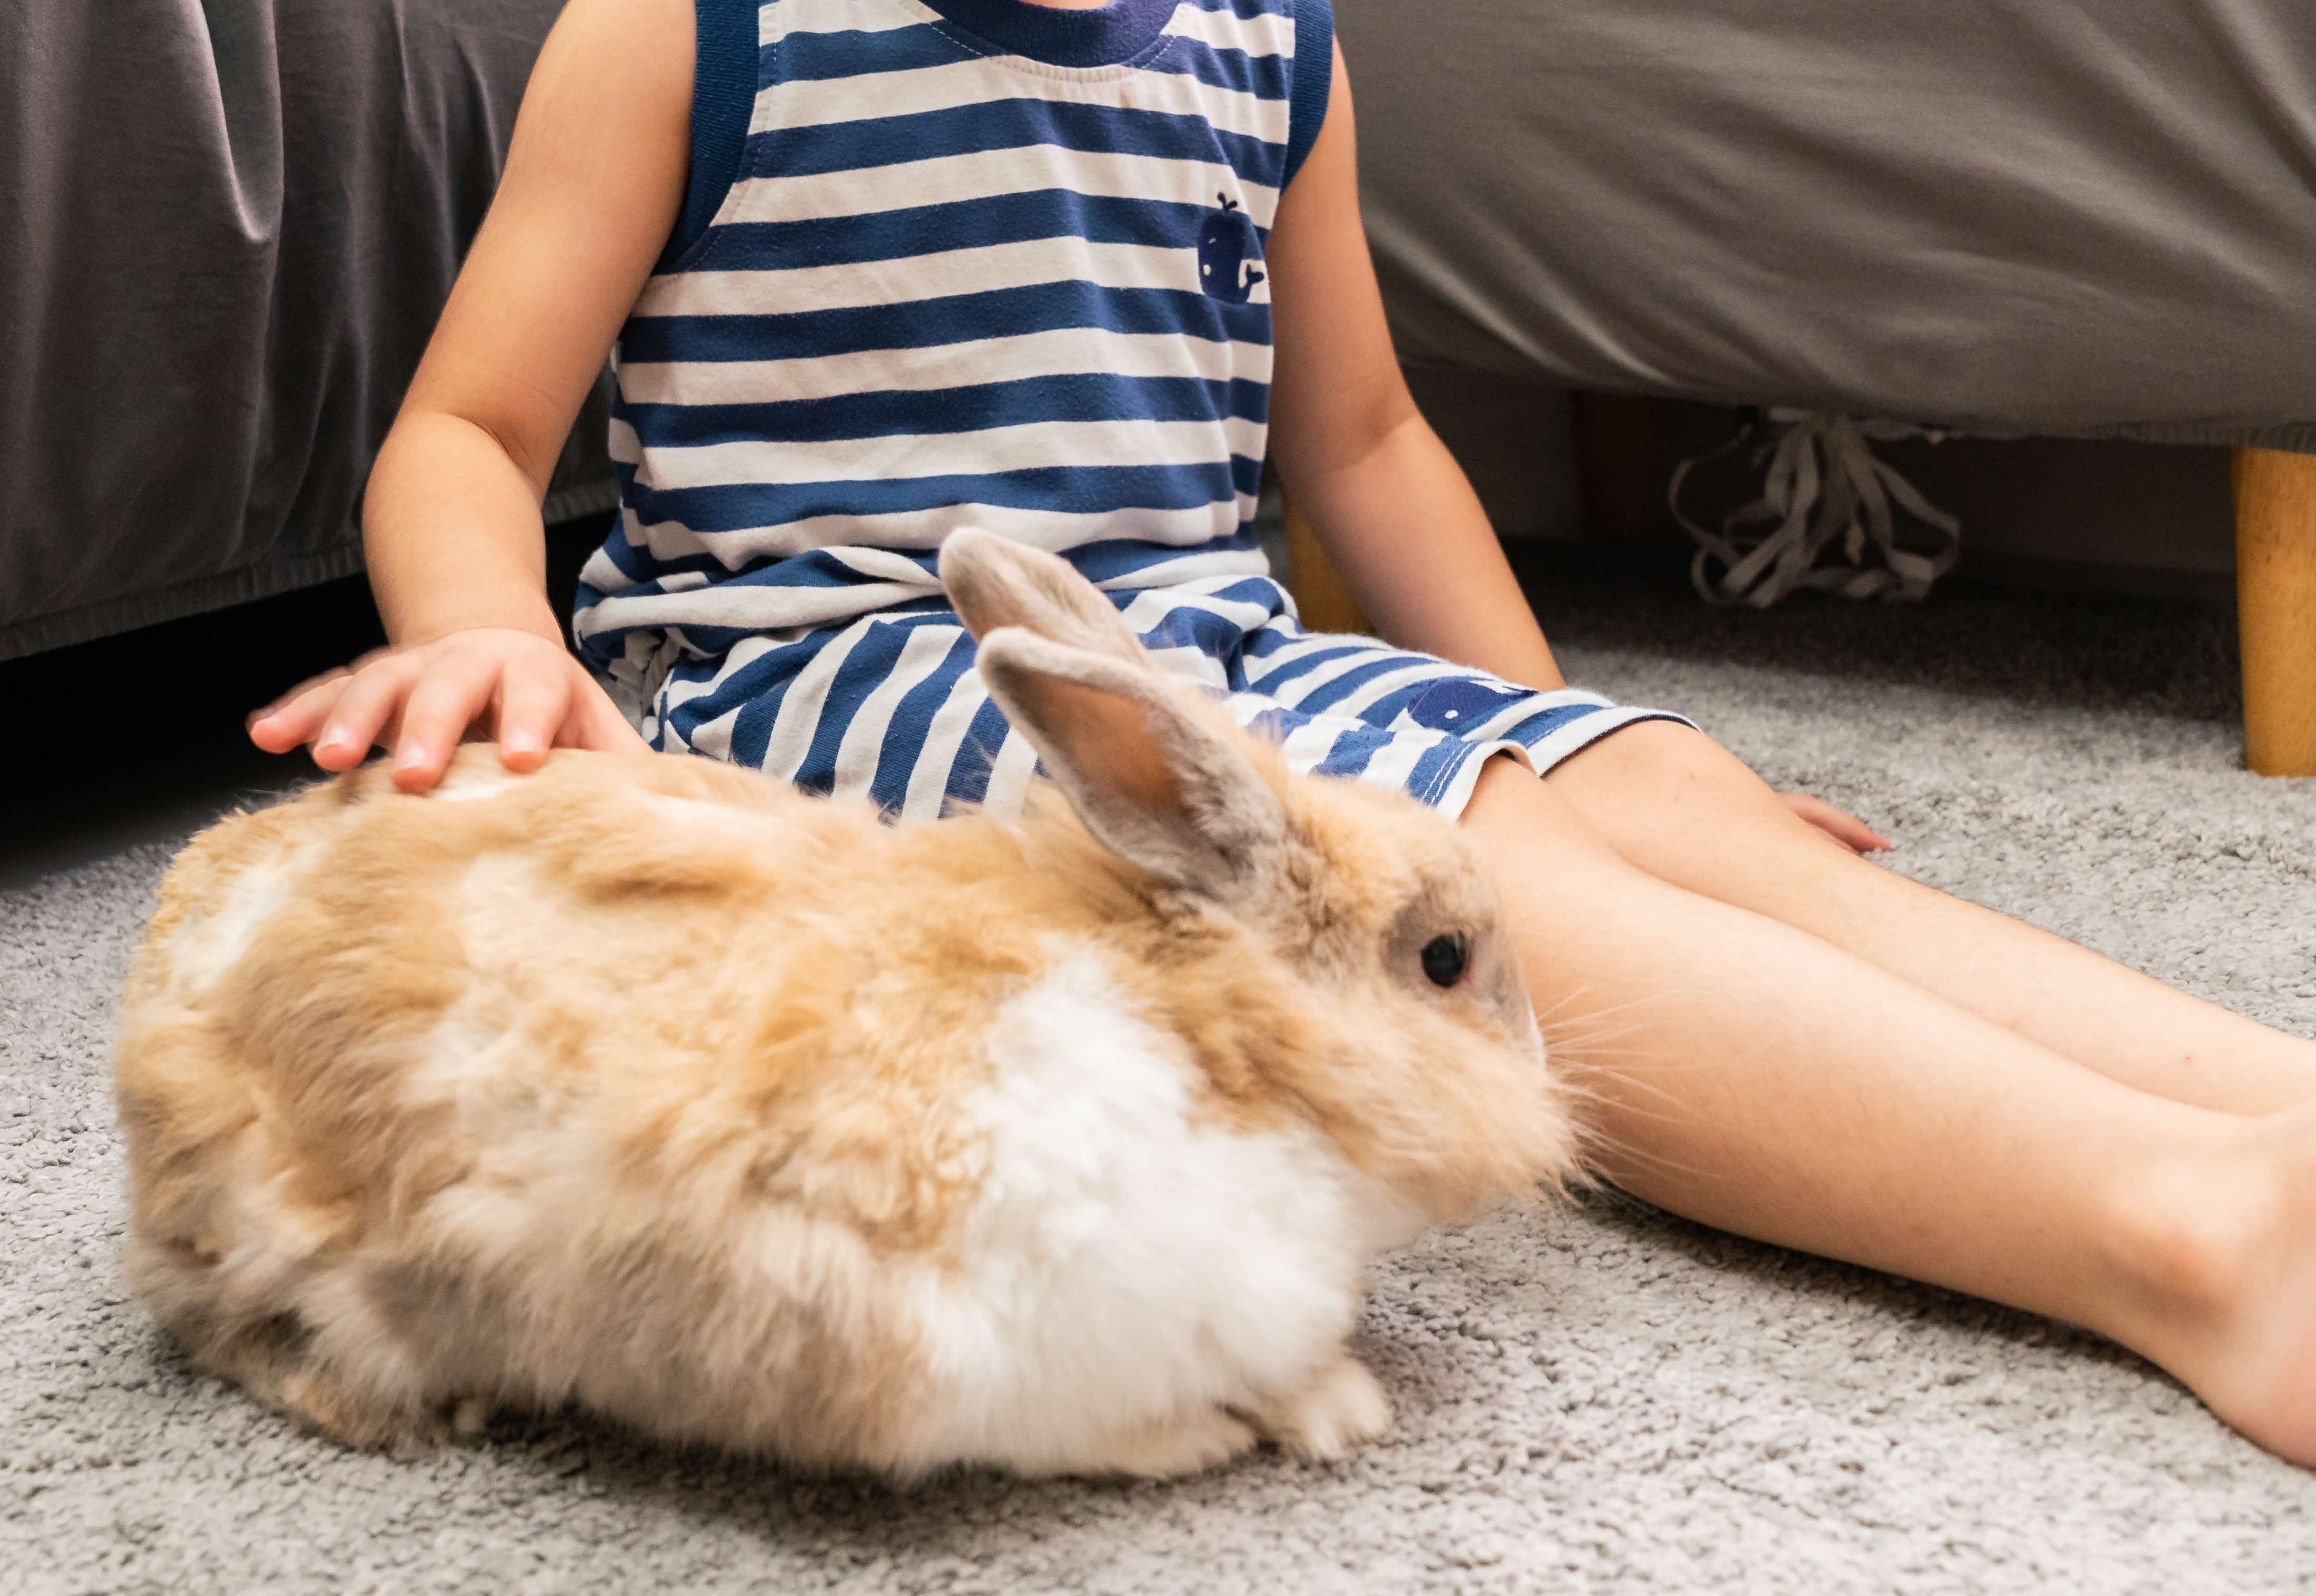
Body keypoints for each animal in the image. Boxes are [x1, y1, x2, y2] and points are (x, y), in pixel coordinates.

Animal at [112, 528, 1579, 1480]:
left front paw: (1330, 1403)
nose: (1547, 1087)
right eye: (1443, 960)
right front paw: (1290, 1421)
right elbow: (1115, 1427)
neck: (1222, 1055)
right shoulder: (967, 1361)